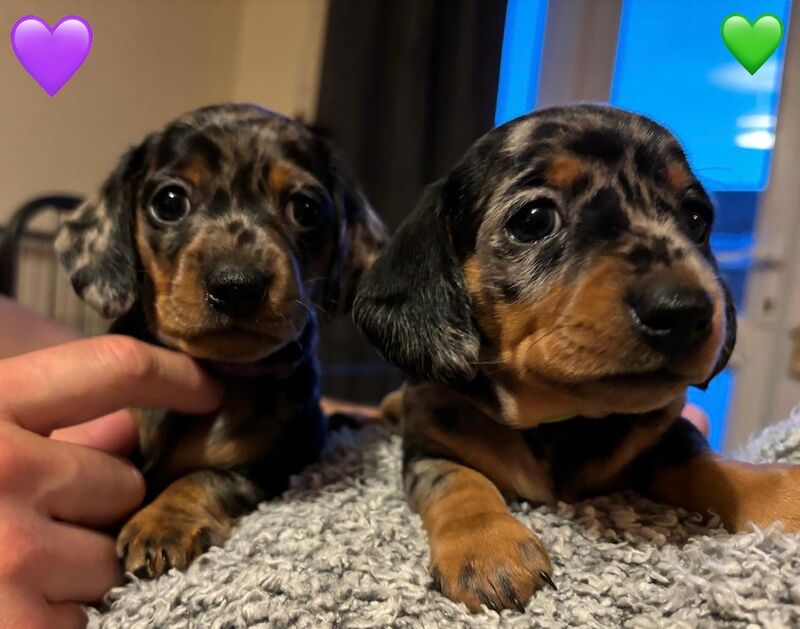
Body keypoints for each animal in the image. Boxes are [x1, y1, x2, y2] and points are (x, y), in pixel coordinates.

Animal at [54, 104, 386, 580]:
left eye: (306, 208)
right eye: (169, 202)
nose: (236, 286)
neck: (223, 372)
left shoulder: (272, 464)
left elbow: (209, 477)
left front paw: (163, 522)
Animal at [356, 104, 800, 612]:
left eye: (696, 218)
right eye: (533, 219)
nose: (684, 311)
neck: (560, 420)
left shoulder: (666, 434)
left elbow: (708, 463)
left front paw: (780, 490)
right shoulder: (430, 445)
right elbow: (459, 481)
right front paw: (486, 546)